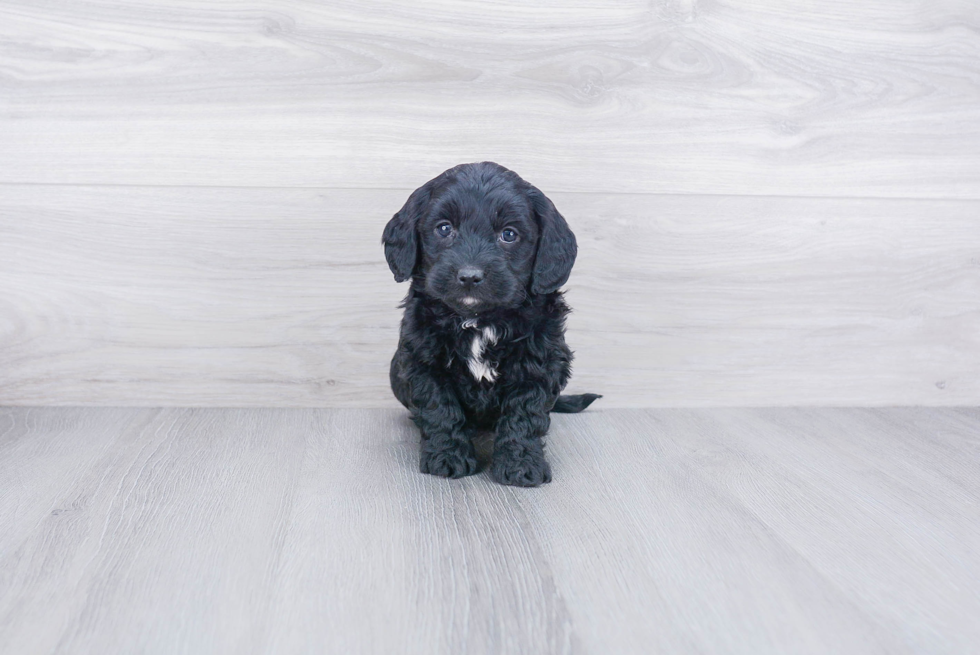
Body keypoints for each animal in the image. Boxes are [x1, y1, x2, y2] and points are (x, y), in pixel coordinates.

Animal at [382, 161, 596, 484]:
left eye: (509, 234)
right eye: (444, 228)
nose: (470, 276)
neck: (478, 321)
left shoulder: (540, 362)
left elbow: (525, 413)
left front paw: (522, 465)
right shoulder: (423, 361)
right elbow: (439, 408)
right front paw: (448, 457)